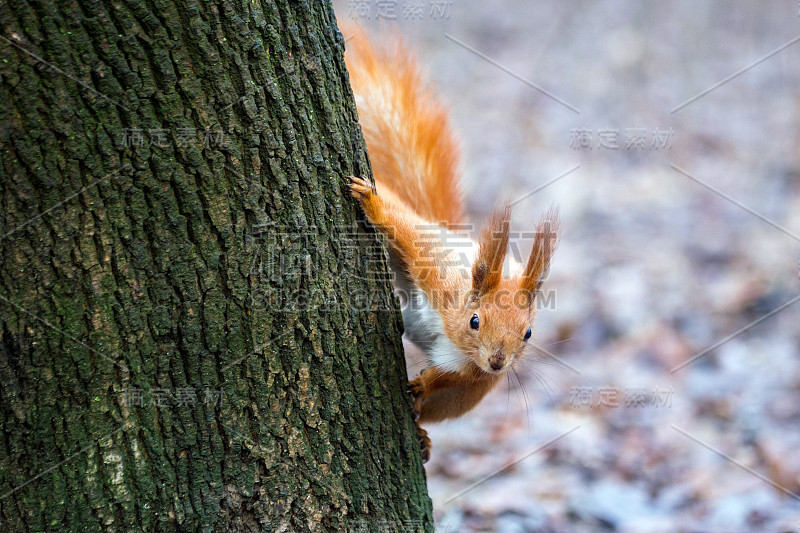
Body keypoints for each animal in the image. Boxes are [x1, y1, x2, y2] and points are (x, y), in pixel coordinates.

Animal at [342, 25, 556, 460]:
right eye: (475, 321)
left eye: (528, 334)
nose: (497, 362)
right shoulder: (434, 271)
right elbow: (405, 229)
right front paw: (373, 203)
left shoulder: (467, 372)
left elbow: (446, 380)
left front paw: (423, 384)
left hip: (470, 394)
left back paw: (422, 429)